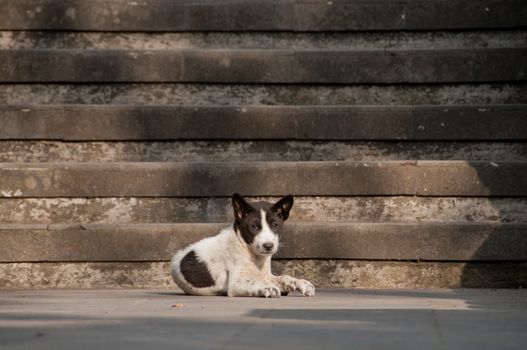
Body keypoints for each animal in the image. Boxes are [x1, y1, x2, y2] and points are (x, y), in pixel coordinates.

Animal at [171, 193, 316, 296]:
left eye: (275, 225)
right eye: (254, 227)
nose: (268, 246)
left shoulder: (267, 275)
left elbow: (284, 277)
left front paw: (300, 282)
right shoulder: (236, 283)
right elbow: (254, 283)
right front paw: (266, 288)